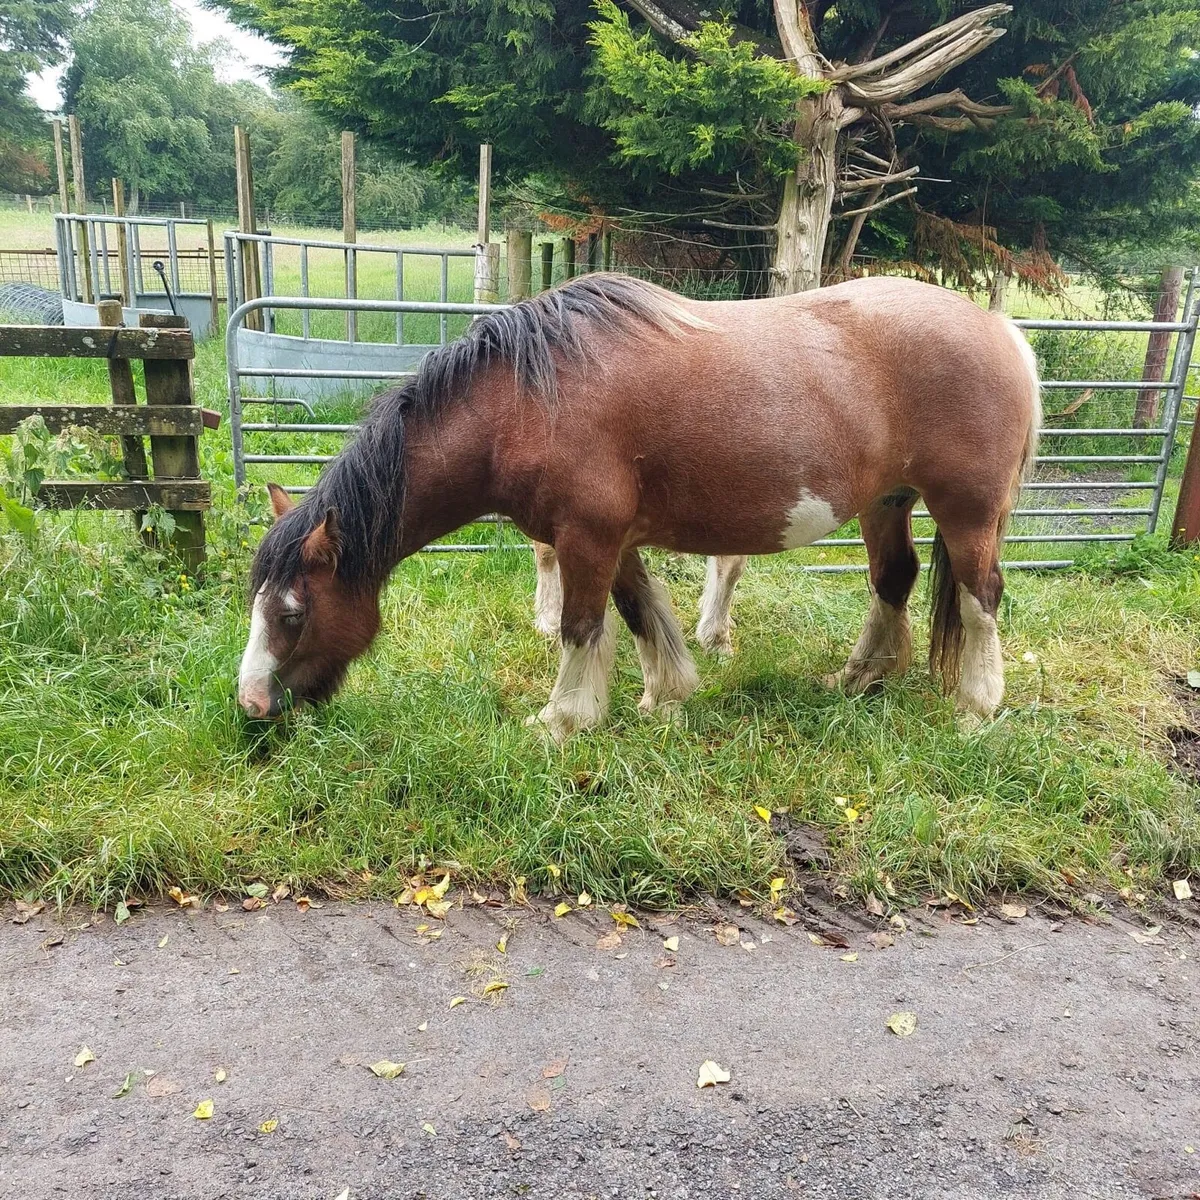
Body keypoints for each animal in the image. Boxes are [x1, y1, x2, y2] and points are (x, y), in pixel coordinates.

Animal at [238, 273, 1040, 741]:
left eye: (292, 613)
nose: (250, 706)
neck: (525, 402)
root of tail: (1001, 331)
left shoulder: (586, 538)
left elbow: (580, 627)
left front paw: (562, 721)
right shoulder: (610, 540)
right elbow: (639, 613)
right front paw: (665, 696)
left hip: (967, 512)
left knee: (981, 597)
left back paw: (976, 707)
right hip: (887, 502)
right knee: (893, 581)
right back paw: (859, 678)